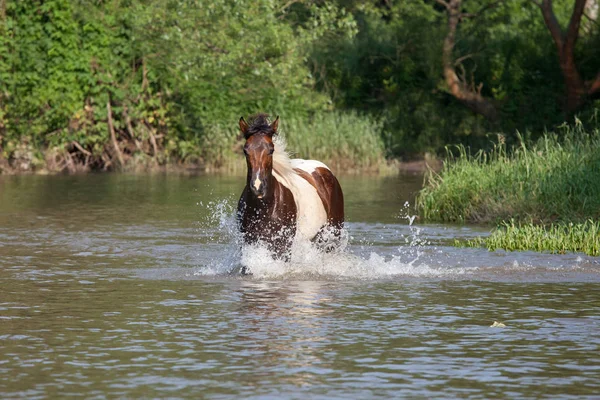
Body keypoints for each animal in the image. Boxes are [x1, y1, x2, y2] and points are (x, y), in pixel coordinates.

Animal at [237, 113, 344, 262]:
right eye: (245, 150)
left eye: (271, 150)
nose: (257, 187)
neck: (264, 207)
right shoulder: (249, 243)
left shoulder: (283, 246)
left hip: (332, 235)